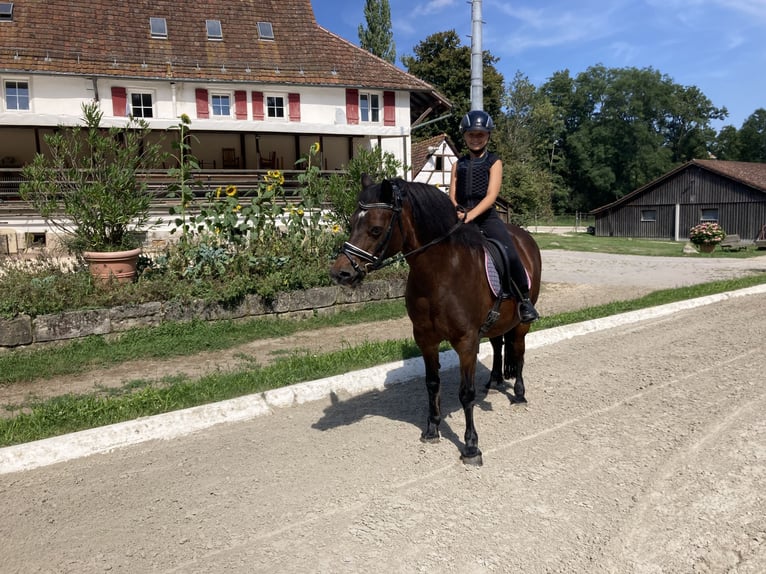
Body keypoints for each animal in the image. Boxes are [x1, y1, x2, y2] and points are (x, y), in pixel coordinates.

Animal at [330, 176, 542, 465]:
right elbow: (432, 384)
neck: (441, 274)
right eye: (351, 223)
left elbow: (466, 393)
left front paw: (471, 446)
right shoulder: (425, 339)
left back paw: (519, 394)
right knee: (498, 344)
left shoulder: (466, 341)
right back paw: (495, 381)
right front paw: (432, 430)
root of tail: (524, 237)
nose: (341, 273)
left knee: (518, 352)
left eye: (375, 229)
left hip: (522, 323)